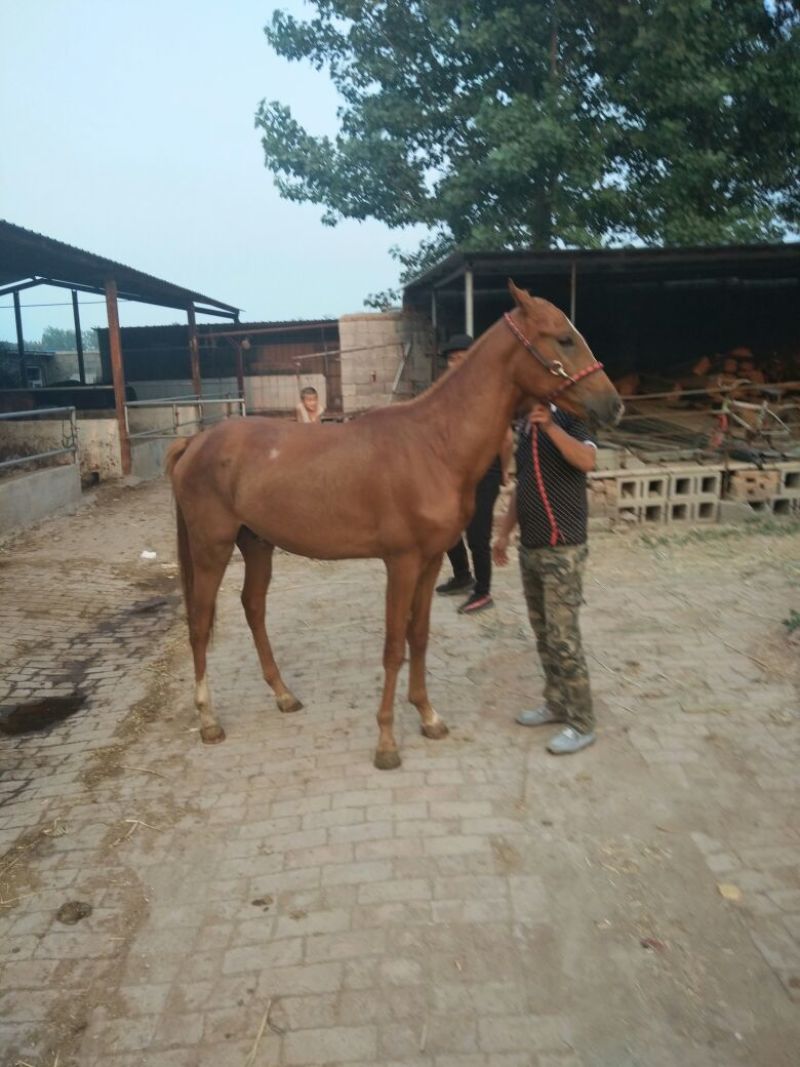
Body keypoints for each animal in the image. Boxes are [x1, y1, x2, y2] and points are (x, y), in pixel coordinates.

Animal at [166, 282, 623, 770]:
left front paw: (428, 716)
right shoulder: (401, 563)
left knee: (253, 607)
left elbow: (417, 638)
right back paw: (209, 720)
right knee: (200, 621)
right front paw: (386, 742)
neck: (433, 443)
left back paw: (284, 695)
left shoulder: (431, 560)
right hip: (212, 548)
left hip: (257, 544)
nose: (613, 405)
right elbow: (393, 645)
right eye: (564, 339)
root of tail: (196, 440)